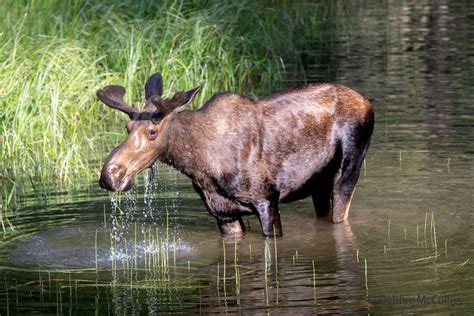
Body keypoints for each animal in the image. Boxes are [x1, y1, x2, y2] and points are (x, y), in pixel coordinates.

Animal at [97, 73, 374, 236]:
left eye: (153, 132)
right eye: (127, 127)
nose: (110, 174)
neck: (199, 167)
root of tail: (368, 103)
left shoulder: (266, 199)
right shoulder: (223, 213)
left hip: (349, 168)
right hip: (319, 184)